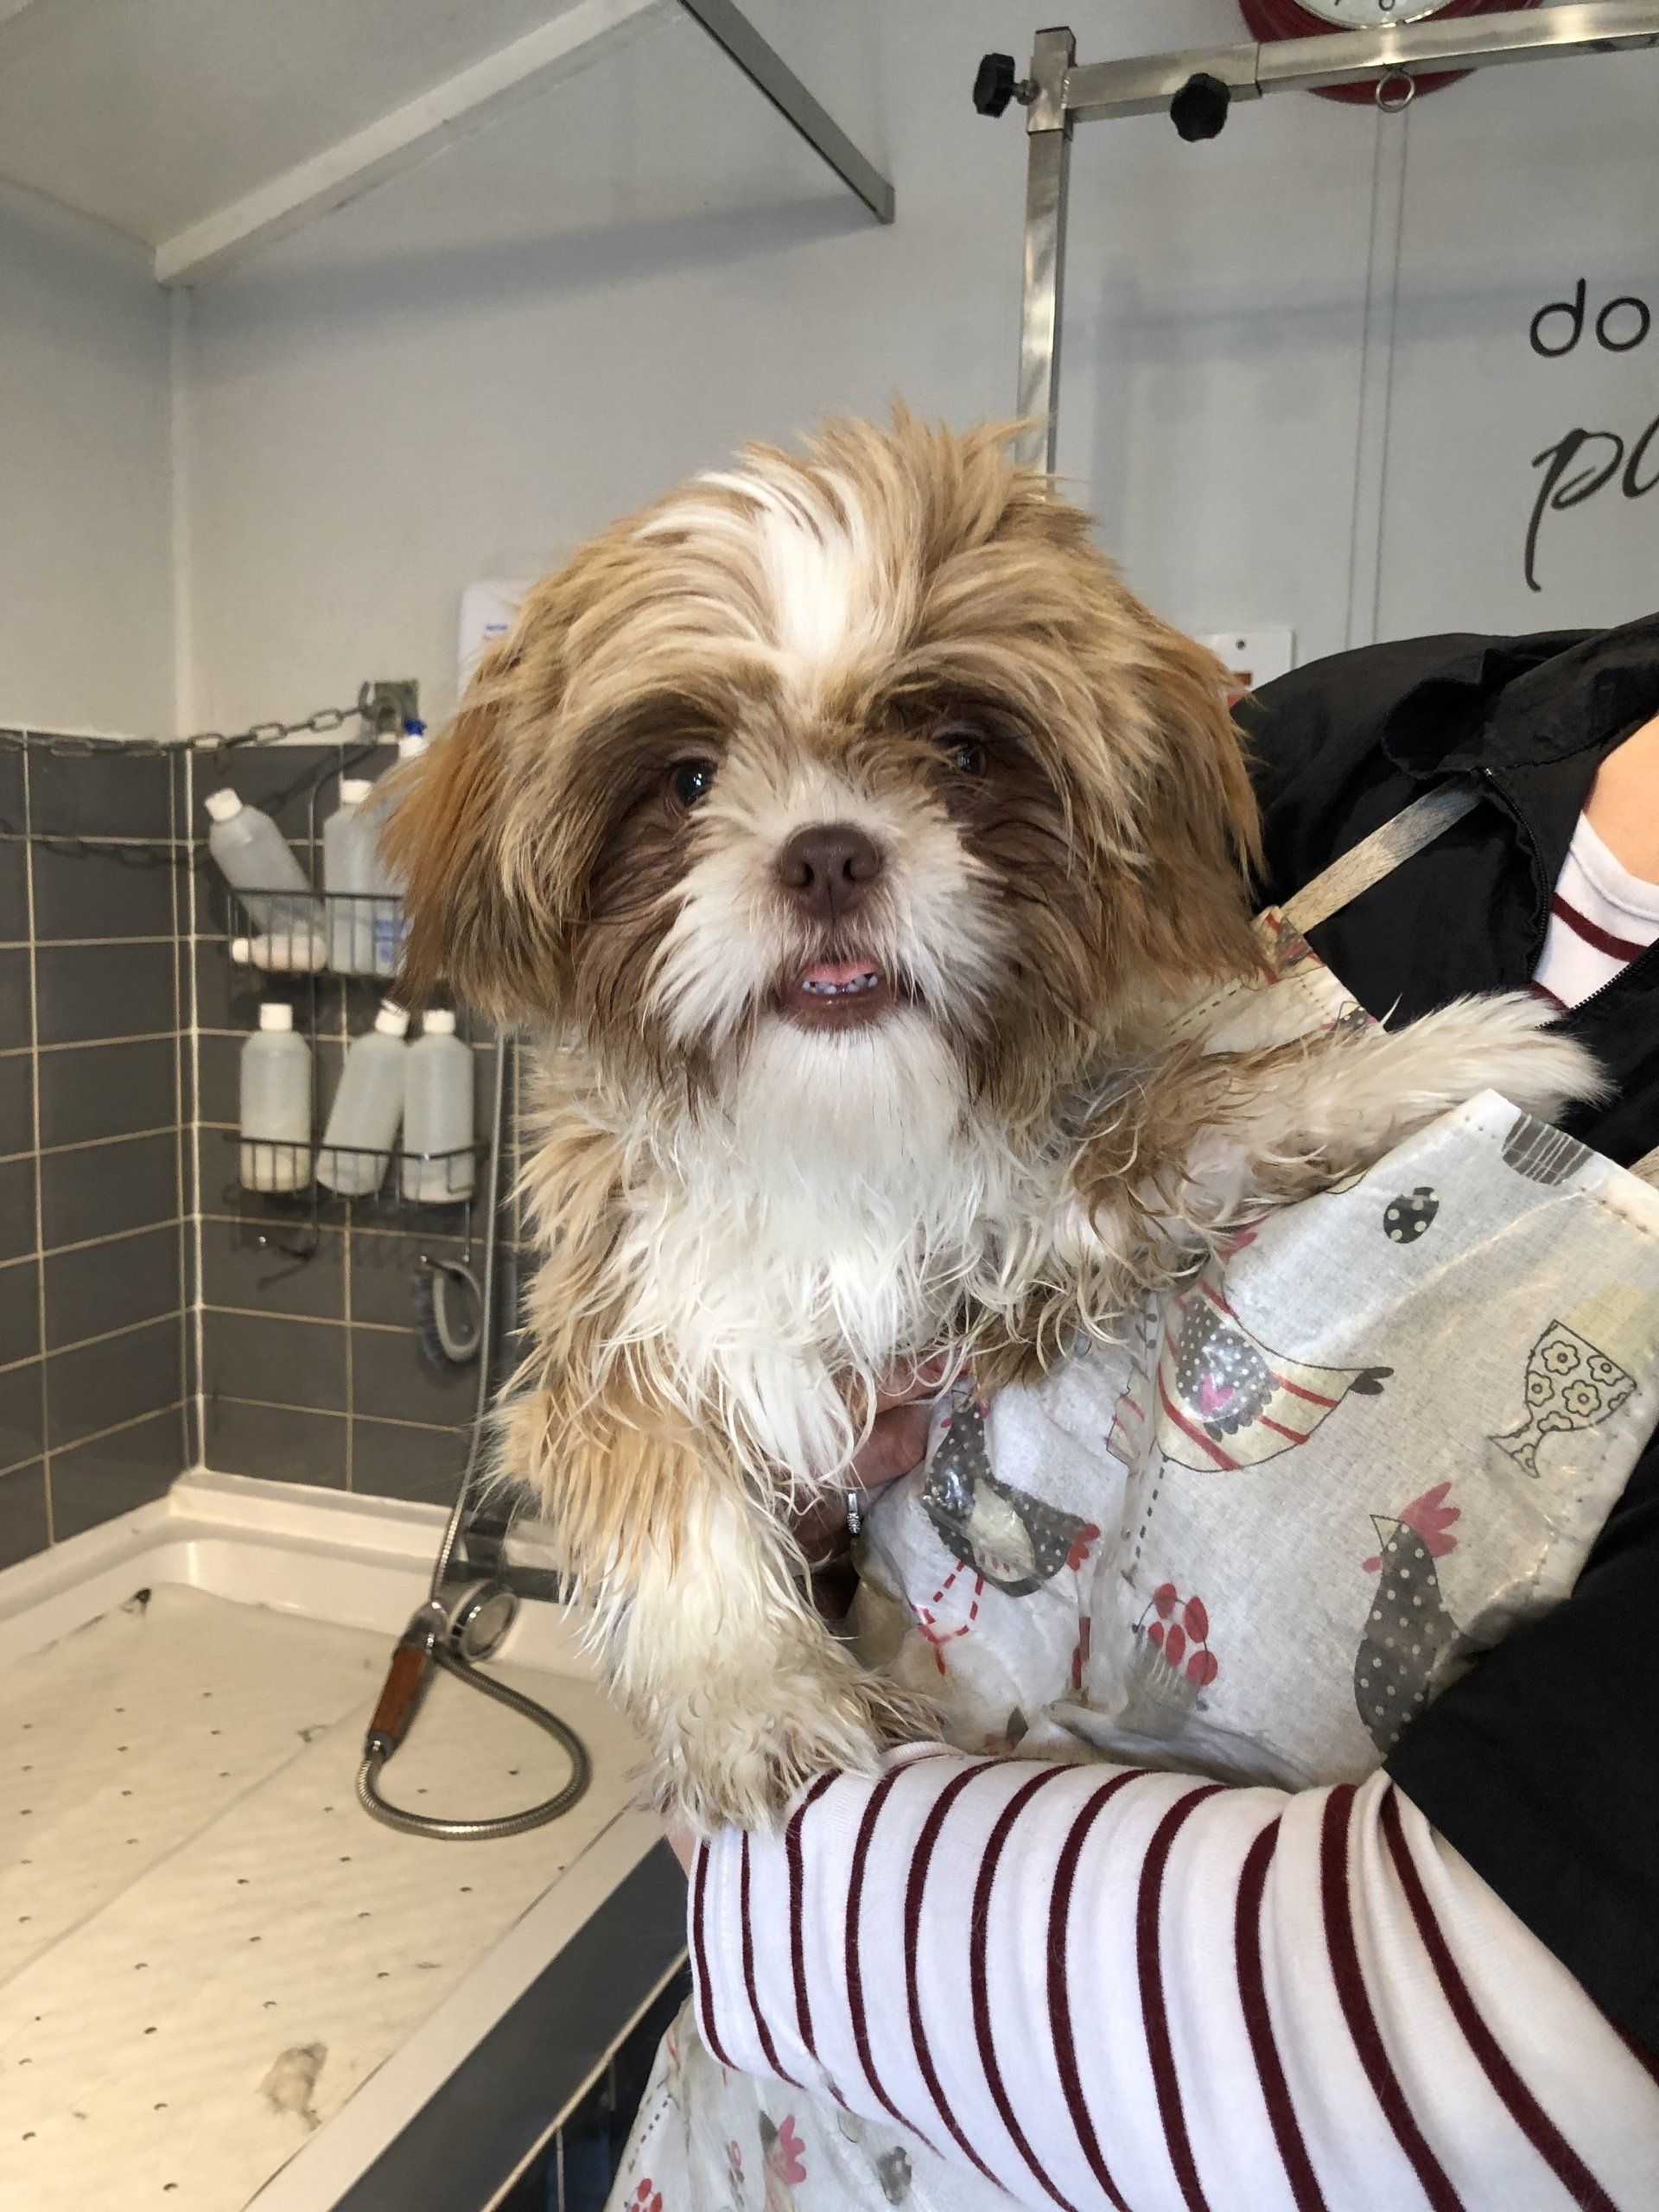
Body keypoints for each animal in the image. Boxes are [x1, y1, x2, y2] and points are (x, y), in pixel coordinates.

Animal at [386, 413, 1599, 1831]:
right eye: (688, 779)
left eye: (961, 754)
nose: (828, 853)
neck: (834, 1125)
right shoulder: (632, 1299)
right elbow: (663, 1480)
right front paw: (758, 1700)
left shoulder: (1002, 1236)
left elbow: (1177, 1129)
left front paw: (1433, 1057)